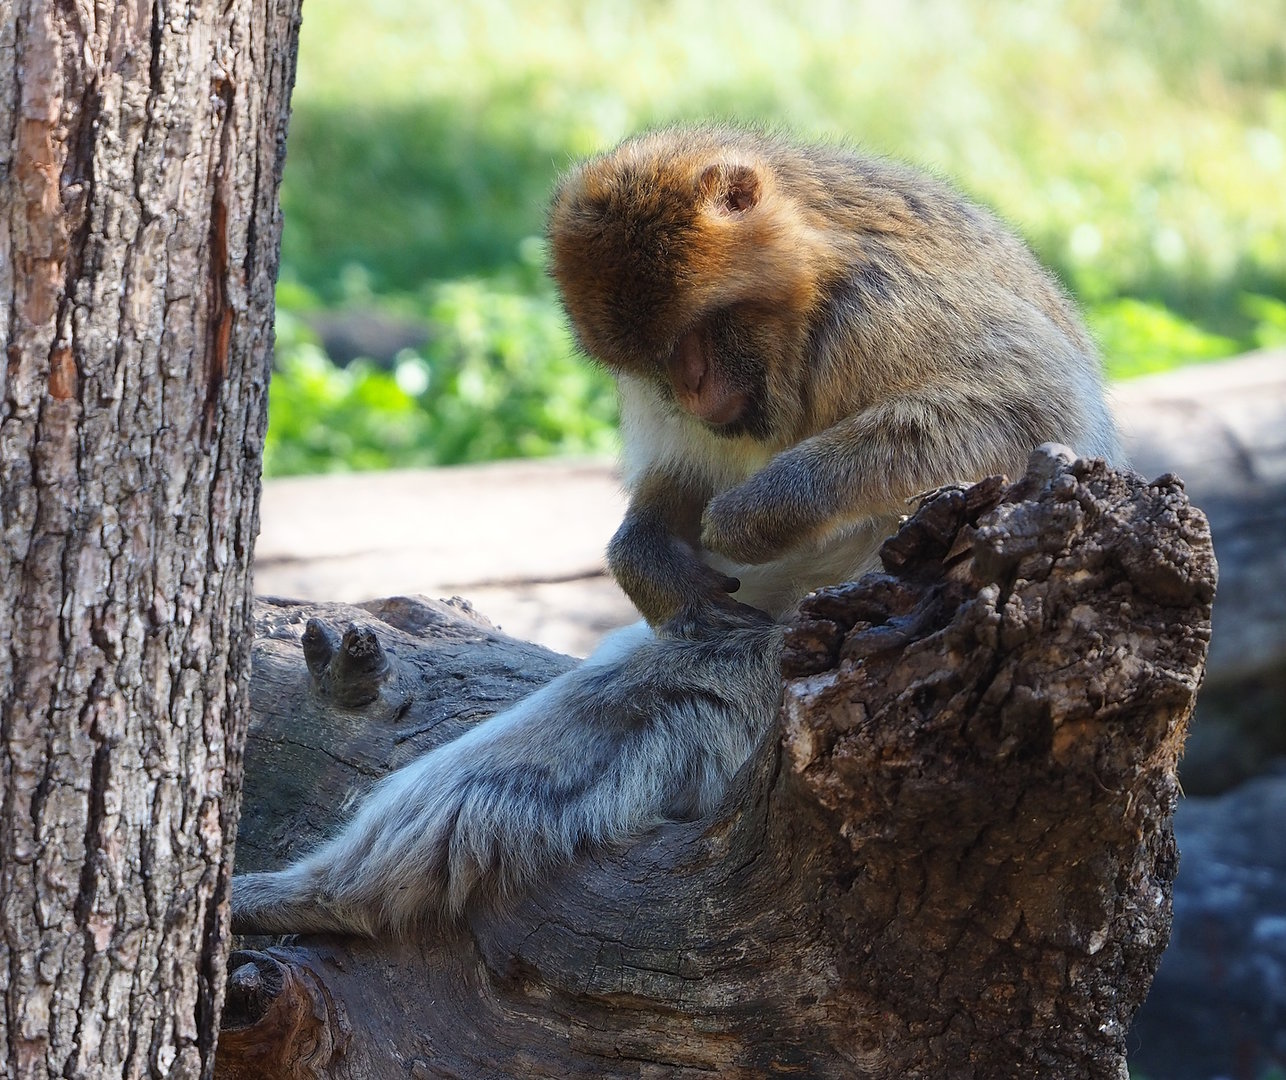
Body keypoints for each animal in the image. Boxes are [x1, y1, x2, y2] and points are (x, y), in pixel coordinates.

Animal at [231, 125, 1119, 937]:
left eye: (700, 336)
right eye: (660, 362)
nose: (690, 390)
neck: (812, 290)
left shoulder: (887, 306)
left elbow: (1011, 412)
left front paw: (759, 513)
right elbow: (687, 473)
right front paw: (648, 558)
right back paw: (313, 899)